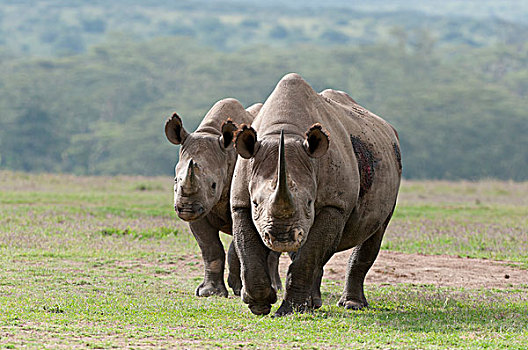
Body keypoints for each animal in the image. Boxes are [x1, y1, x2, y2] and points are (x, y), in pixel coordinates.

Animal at [165, 98, 282, 298]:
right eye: (175, 180)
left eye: (214, 185)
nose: (186, 209)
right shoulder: (200, 210)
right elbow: (210, 248)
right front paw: (210, 292)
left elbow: (235, 247)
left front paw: (238, 288)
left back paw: (274, 287)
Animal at [231, 73, 400, 314]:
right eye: (255, 204)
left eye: (310, 203)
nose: (281, 238)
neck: (284, 131)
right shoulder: (240, 202)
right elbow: (248, 251)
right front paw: (259, 304)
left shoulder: (334, 205)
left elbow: (308, 256)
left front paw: (289, 311)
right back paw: (314, 304)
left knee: (375, 230)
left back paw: (351, 305)